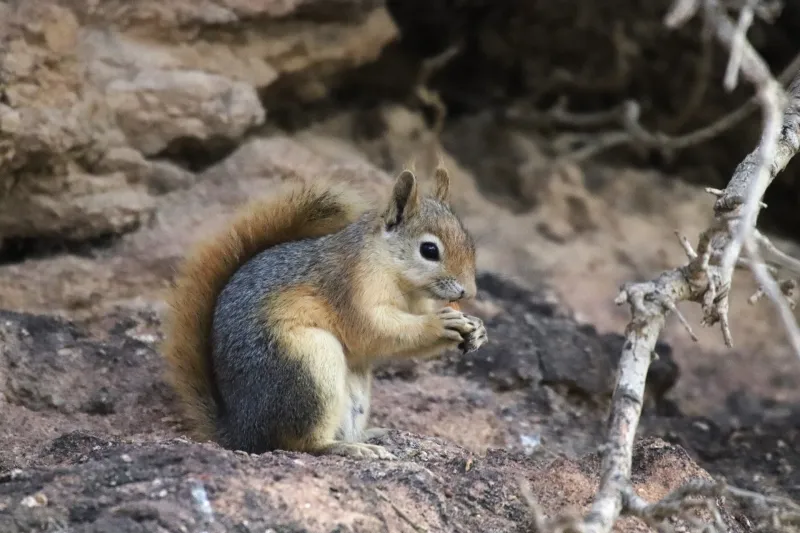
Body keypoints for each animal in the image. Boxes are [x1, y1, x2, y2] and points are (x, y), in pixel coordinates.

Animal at [161, 166, 488, 460]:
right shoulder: (351, 288)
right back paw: (348, 447)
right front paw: (440, 323)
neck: (395, 273)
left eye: (471, 243)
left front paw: (478, 329)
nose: (469, 293)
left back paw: (368, 435)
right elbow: (375, 331)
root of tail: (241, 431)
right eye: (429, 250)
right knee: (299, 443)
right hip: (312, 365)